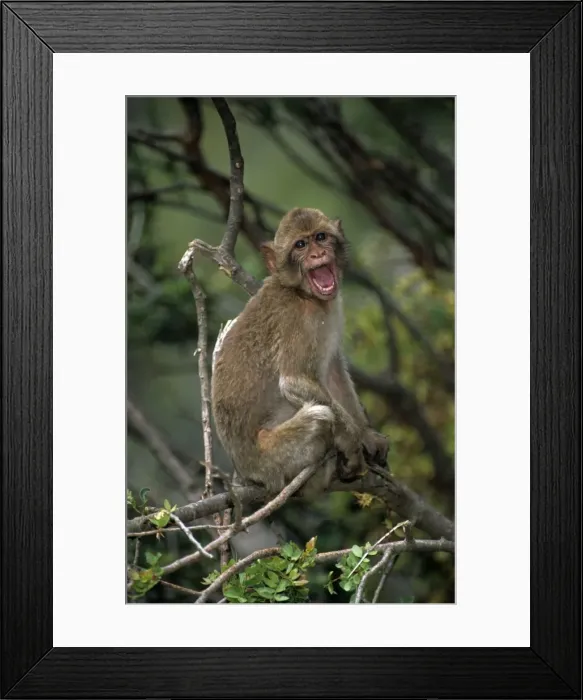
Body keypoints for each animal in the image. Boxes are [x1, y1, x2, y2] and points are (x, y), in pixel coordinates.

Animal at [211, 207, 389, 497]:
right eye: (301, 245)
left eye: (321, 237)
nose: (317, 255)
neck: (304, 295)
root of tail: (246, 472)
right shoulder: (298, 320)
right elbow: (294, 381)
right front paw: (353, 443)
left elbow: (334, 372)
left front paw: (366, 435)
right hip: (272, 459)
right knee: (319, 417)